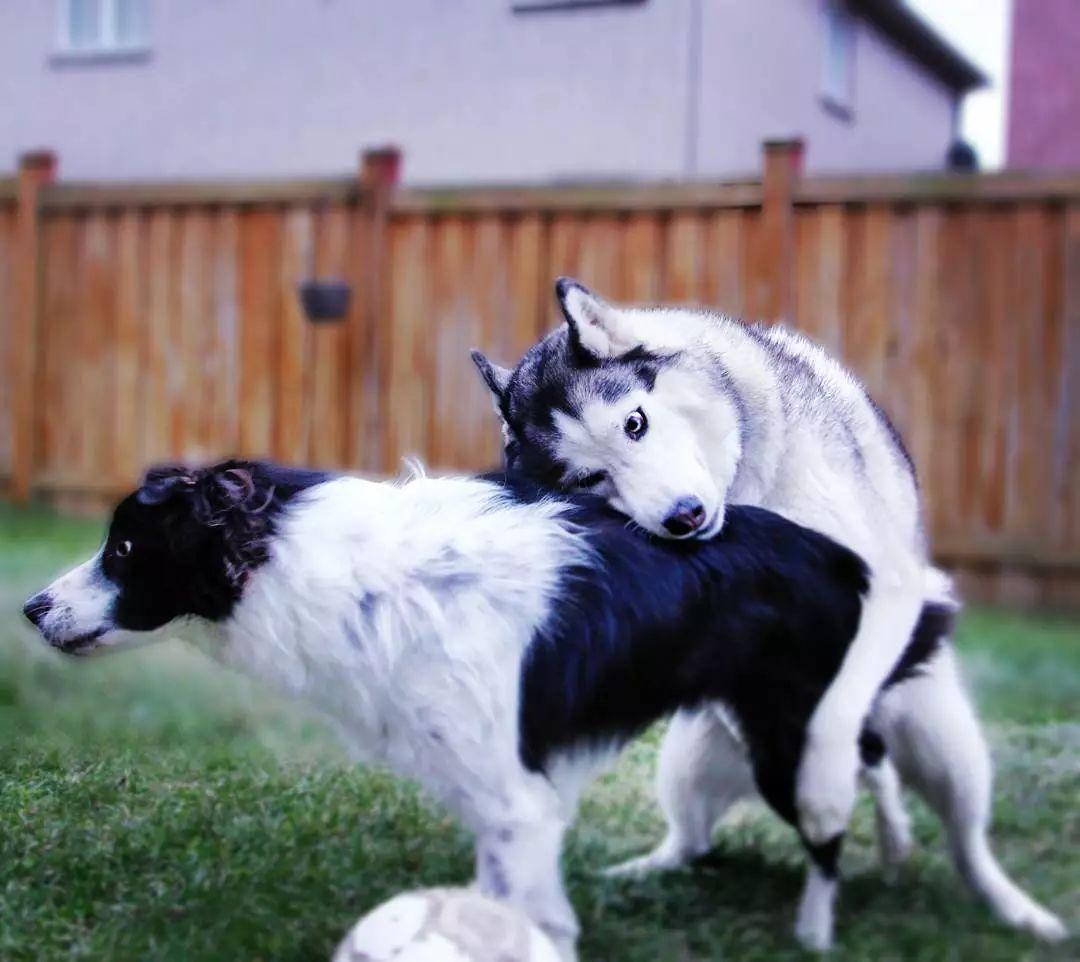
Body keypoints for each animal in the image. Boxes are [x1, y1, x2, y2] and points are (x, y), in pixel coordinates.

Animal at [23, 459, 1062, 954]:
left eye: (124, 551)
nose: (30, 608)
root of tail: (847, 558)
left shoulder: (514, 795)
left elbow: (535, 919)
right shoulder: (495, 798)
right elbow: (497, 902)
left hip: (786, 737)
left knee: (830, 824)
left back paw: (819, 926)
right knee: (848, 772)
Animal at [470, 276, 1062, 950]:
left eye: (635, 423)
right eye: (590, 477)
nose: (683, 517)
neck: (747, 483)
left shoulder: (887, 588)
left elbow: (838, 710)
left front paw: (824, 791)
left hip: (948, 750)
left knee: (961, 842)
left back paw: (1013, 908)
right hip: (687, 758)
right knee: (700, 836)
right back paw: (646, 869)